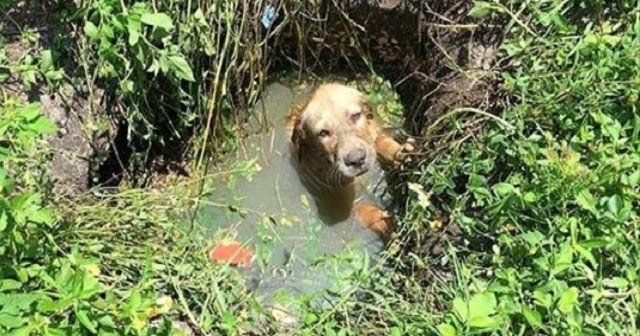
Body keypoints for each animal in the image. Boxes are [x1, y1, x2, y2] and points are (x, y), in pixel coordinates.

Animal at [284, 82, 416, 240]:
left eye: (355, 116)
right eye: (323, 133)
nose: (357, 160)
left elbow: (380, 141)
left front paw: (400, 152)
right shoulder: (335, 199)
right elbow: (359, 207)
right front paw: (384, 222)